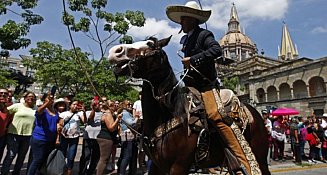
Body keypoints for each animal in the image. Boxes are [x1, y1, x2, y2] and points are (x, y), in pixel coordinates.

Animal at [109, 36, 270, 174]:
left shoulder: (179, 166)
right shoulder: (158, 165)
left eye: (150, 44)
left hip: (260, 155)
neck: (170, 113)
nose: (115, 51)